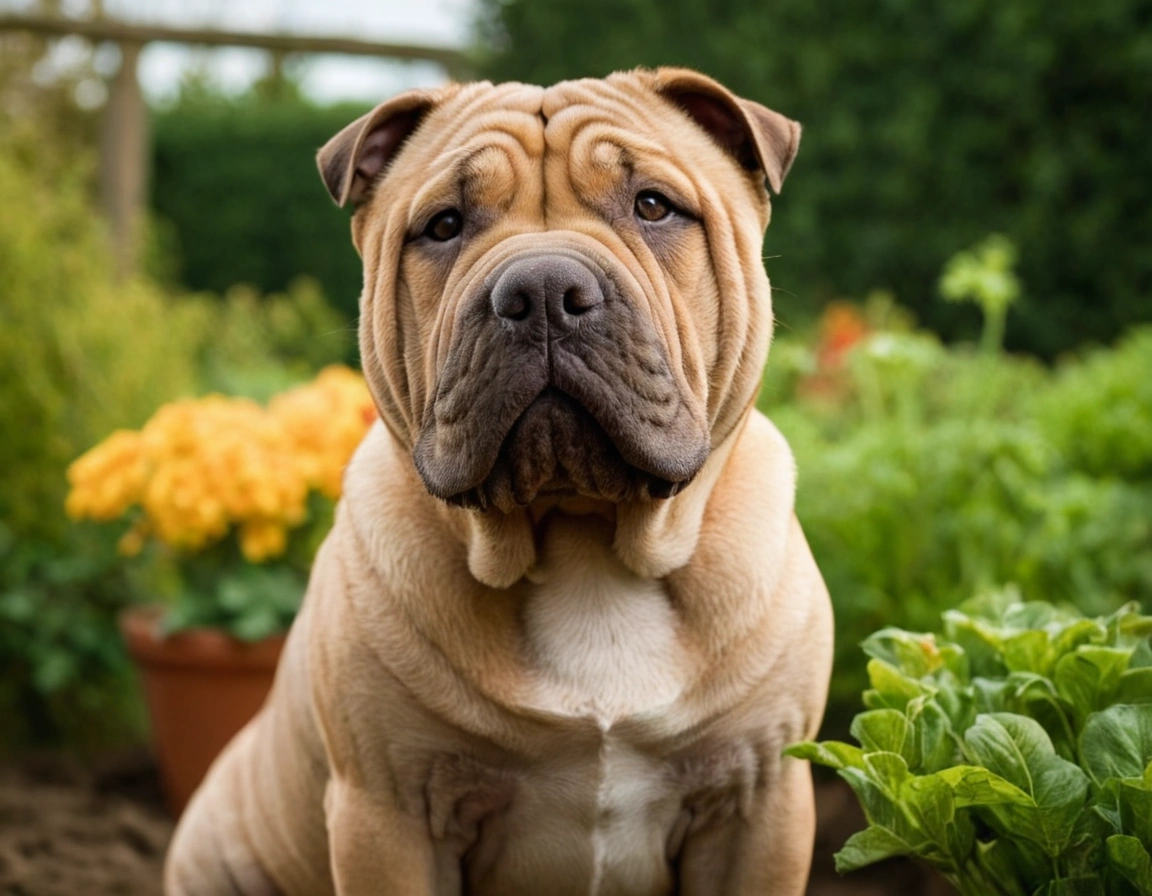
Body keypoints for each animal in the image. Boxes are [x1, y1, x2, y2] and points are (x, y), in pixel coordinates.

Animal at [167, 66, 834, 889]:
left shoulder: (758, 802)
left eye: (653, 205)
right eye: (444, 225)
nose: (543, 289)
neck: (588, 548)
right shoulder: (388, 813)